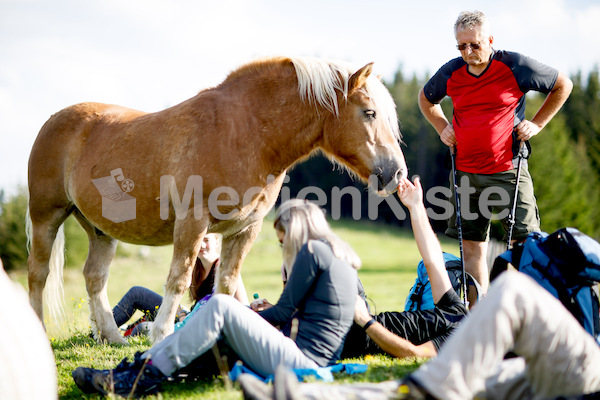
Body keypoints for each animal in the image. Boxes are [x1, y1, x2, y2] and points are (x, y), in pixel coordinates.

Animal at [25, 55, 406, 344]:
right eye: (369, 112)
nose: (397, 173)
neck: (245, 133)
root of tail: (53, 121)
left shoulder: (245, 229)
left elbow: (226, 282)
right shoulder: (192, 222)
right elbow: (178, 278)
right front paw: (161, 334)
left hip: (99, 230)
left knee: (95, 277)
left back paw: (114, 338)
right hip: (47, 216)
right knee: (38, 274)